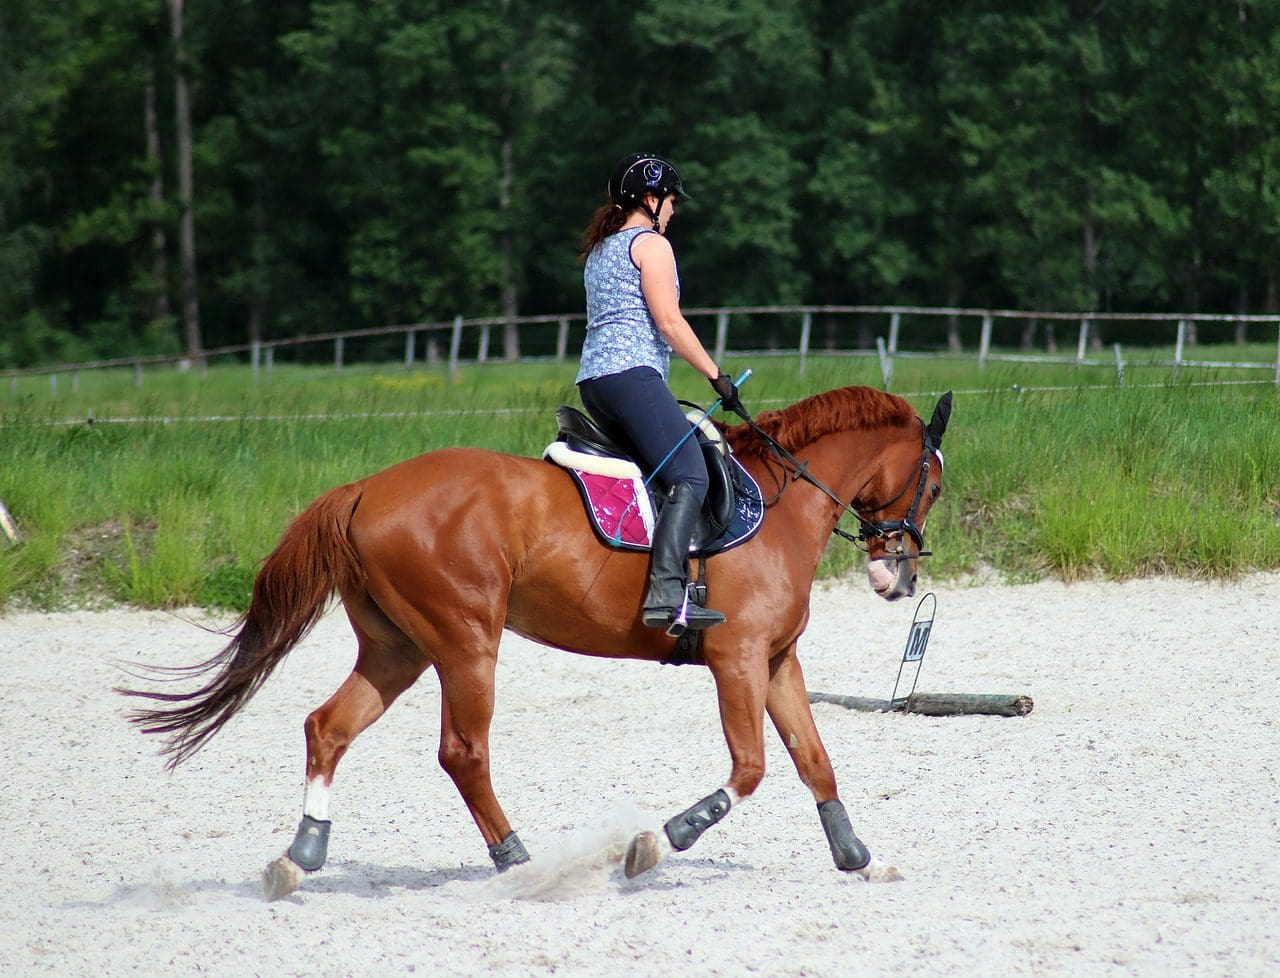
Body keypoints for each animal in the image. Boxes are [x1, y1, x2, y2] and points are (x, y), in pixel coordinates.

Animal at [122, 378, 952, 896]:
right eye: (935, 484)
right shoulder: (738, 659)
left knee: (328, 726)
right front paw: (657, 842)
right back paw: (518, 861)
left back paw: (300, 857)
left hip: (398, 649)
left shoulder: (777, 660)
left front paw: (860, 860)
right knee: (463, 752)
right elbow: (750, 769)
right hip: (465, 642)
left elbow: (816, 762)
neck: (778, 506)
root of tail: (365, 488)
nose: (898, 576)